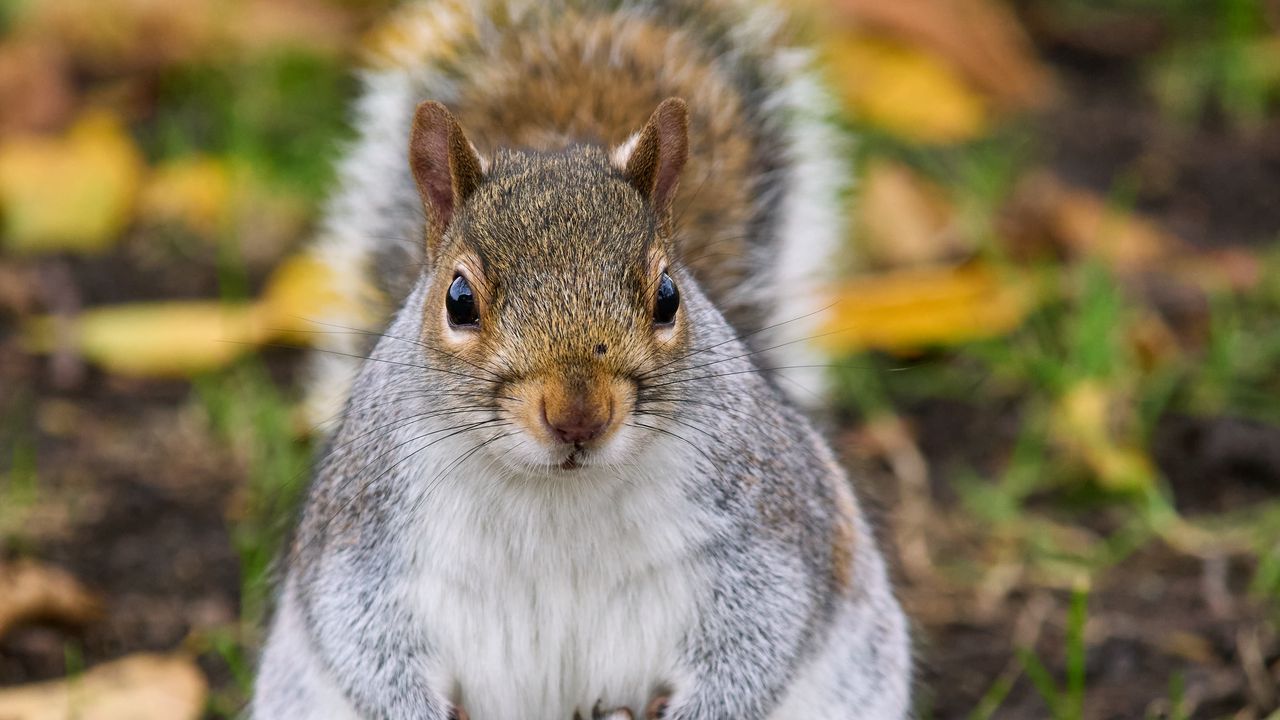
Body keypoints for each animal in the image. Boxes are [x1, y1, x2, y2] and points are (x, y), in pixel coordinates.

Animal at [253, 1, 912, 719]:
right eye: (458, 300)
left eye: (668, 296)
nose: (578, 416)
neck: (558, 495)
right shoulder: (364, 530)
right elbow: (359, 635)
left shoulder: (767, 520)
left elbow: (762, 631)